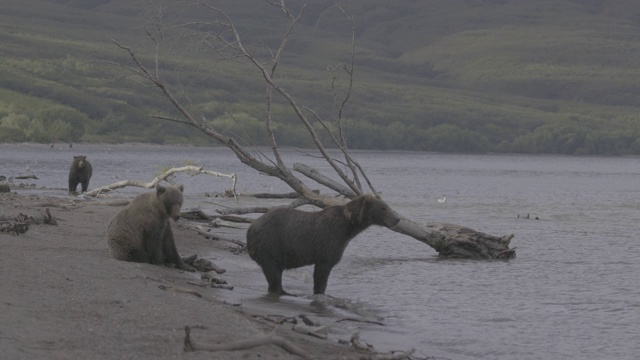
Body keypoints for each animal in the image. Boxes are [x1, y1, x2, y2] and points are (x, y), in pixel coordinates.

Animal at [246, 194, 400, 296]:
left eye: (387, 206)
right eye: (383, 208)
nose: (397, 219)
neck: (348, 227)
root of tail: (251, 227)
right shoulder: (328, 242)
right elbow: (322, 272)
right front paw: (321, 292)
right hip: (271, 243)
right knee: (274, 271)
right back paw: (283, 291)